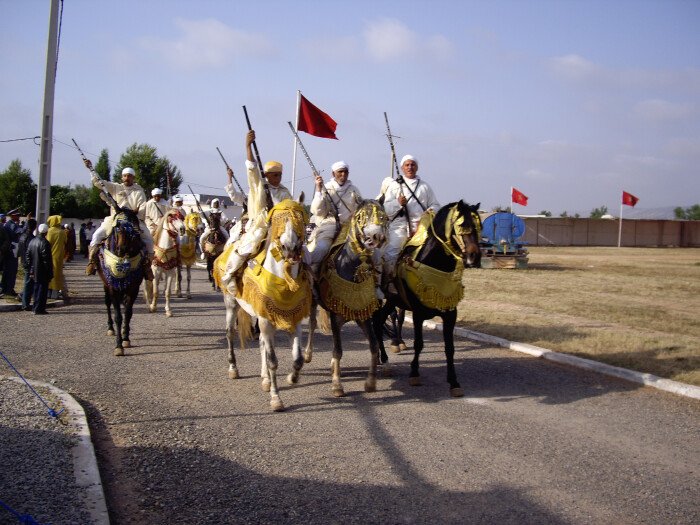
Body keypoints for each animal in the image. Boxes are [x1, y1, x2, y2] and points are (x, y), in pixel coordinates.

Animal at [95, 209, 146, 356]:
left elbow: (128, 313)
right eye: (117, 227)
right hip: (106, 285)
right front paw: (118, 346)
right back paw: (110, 328)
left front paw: (126, 338)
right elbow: (118, 316)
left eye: (134, 229)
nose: (121, 248)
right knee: (107, 304)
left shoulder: (133, 288)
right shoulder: (113, 287)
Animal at [213, 199, 308, 412]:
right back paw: (234, 368)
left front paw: (292, 377)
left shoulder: (293, 320)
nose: (289, 248)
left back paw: (265, 379)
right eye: (278, 220)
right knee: (230, 333)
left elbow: (297, 359)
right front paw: (276, 398)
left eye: (300, 219)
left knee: (262, 342)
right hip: (231, 304)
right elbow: (273, 361)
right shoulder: (265, 320)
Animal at [302, 201, 388, 398]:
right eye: (362, 216)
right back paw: (308, 355)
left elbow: (373, 346)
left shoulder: (364, 316)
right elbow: (338, 350)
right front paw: (337, 385)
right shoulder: (336, 317)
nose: (377, 237)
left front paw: (370, 383)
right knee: (312, 324)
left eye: (383, 216)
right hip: (313, 300)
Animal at [374, 199, 484, 396]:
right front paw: (414, 373)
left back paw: (383, 357)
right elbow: (419, 343)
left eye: (479, 226)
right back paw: (384, 358)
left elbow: (450, 348)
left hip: (392, 300)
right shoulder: (418, 313)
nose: (475, 257)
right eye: (462, 225)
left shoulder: (450, 314)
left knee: (379, 321)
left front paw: (454, 382)